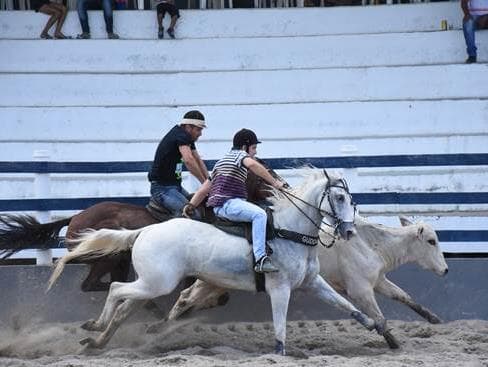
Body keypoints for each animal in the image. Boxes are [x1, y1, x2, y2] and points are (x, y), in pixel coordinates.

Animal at [0, 161, 286, 294]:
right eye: (264, 173)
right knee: (92, 285)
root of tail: (75, 219)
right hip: (107, 258)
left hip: (118, 261)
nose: (281, 187)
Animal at [47, 171, 376, 356]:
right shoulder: (280, 289)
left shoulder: (312, 283)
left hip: (149, 284)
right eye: (338, 197)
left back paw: (98, 341)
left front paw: (376, 326)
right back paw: (96, 325)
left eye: (351, 199)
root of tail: (145, 230)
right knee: (115, 288)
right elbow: (280, 328)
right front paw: (280, 352)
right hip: (155, 283)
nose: (349, 231)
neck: (288, 230)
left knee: (122, 306)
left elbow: (348, 306)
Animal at [162, 217, 448, 350]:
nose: (445, 270)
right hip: (215, 282)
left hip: (214, 282)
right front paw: (393, 343)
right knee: (186, 298)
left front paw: (434, 318)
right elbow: (379, 316)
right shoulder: (360, 289)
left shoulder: (378, 280)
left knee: (187, 297)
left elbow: (404, 296)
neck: (370, 243)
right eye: (431, 241)